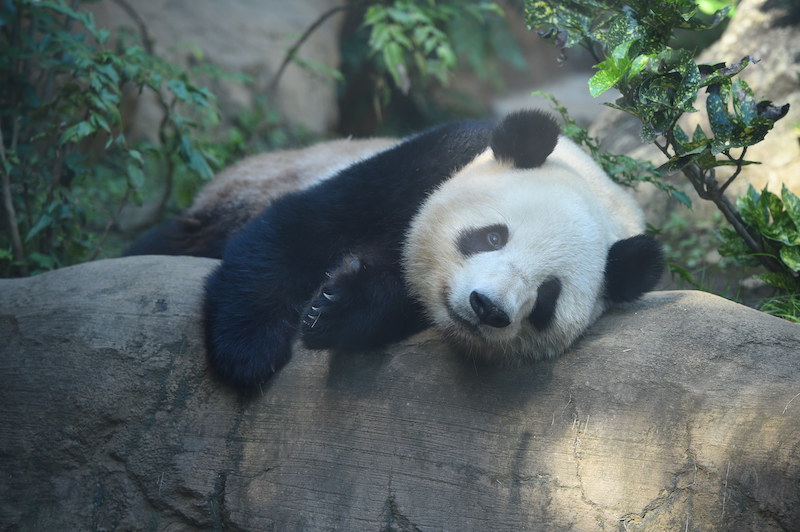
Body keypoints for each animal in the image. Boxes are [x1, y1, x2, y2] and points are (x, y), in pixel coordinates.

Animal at [188, 110, 664, 392]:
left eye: (547, 296)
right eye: (493, 237)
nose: (487, 308)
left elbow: (390, 299)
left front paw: (335, 307)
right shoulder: (425, 165)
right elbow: (301, 230)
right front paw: (247, 352)